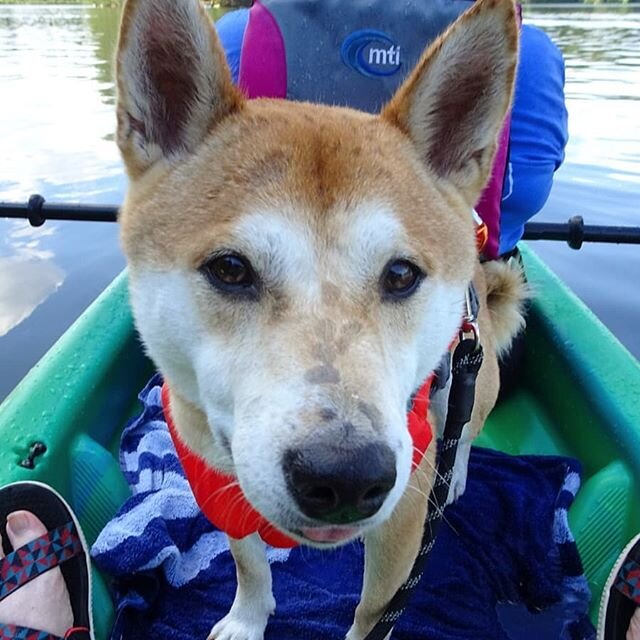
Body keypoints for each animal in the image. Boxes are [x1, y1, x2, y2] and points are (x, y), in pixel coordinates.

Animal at [114, 0, 524, 636]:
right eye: (230, 269)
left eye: (401, 274)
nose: (347, 476)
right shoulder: (219, 486)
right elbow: (248, 563)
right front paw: (246, 620)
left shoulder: (403, 519)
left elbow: (374, 609)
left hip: (470, 379)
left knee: (465, 426)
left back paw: (455, 472)